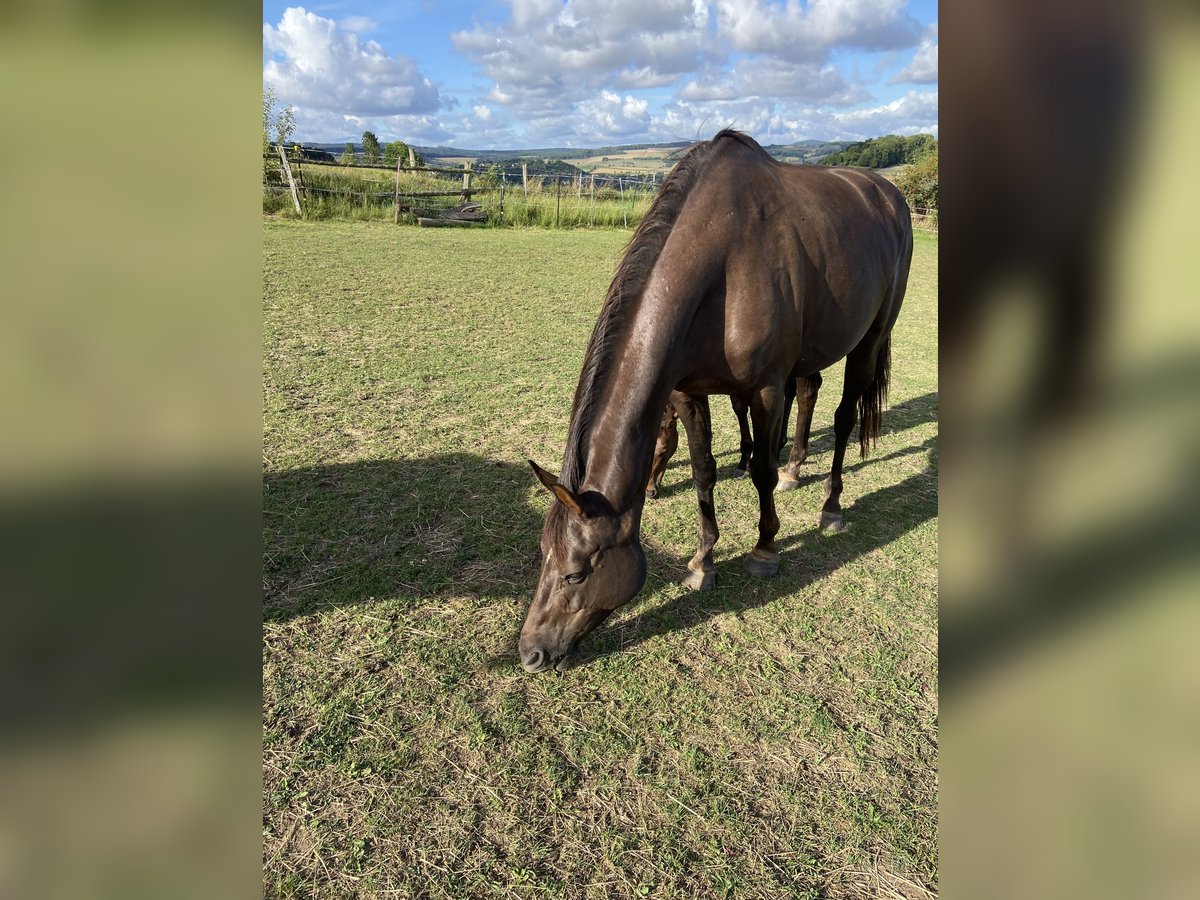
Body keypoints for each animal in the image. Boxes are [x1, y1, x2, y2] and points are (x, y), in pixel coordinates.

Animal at [520, 130, 912, 673]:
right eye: (543, 556)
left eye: (576, 574)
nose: (530, 653)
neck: (721, 264)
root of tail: (890, 194)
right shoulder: (689, 391)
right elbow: (704, 471)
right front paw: (703, 561)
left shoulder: (765, 388)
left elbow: (761, 471)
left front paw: (765, 549)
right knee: (809, 394)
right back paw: (796, 470)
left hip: (870, 340)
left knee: (843, 417)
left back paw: (831, 506)